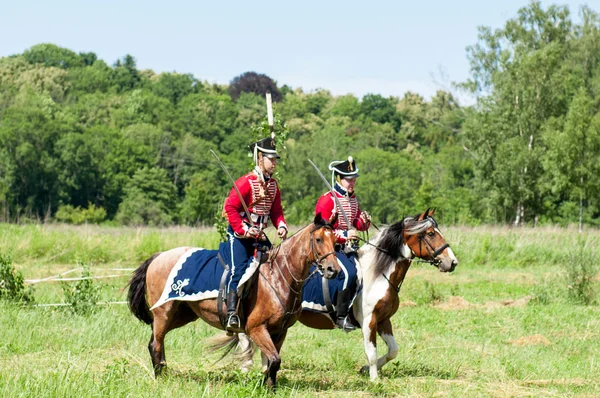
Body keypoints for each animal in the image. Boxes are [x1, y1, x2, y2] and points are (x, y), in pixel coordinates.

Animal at [127, 215, 340, 388]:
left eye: (335, 242)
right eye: (319, 239)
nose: (333, 270)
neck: (278, 276)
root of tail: (159, 256)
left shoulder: (280, 331)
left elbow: (271, 363)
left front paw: (269, 388)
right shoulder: (257, 329)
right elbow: (273, 361)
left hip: (181, 315)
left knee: (159, 341)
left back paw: (164, 371)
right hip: (164, 313)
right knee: (155, 344)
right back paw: (160, 378)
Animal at [237, 208, 458, 380]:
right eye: (430, 233)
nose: (452, 262)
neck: (377, 273)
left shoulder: (383, 320)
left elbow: (393, 351)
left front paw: (365, 370)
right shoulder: (369, 320)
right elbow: (371, 351)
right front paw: (374, 380)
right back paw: (245, 368)